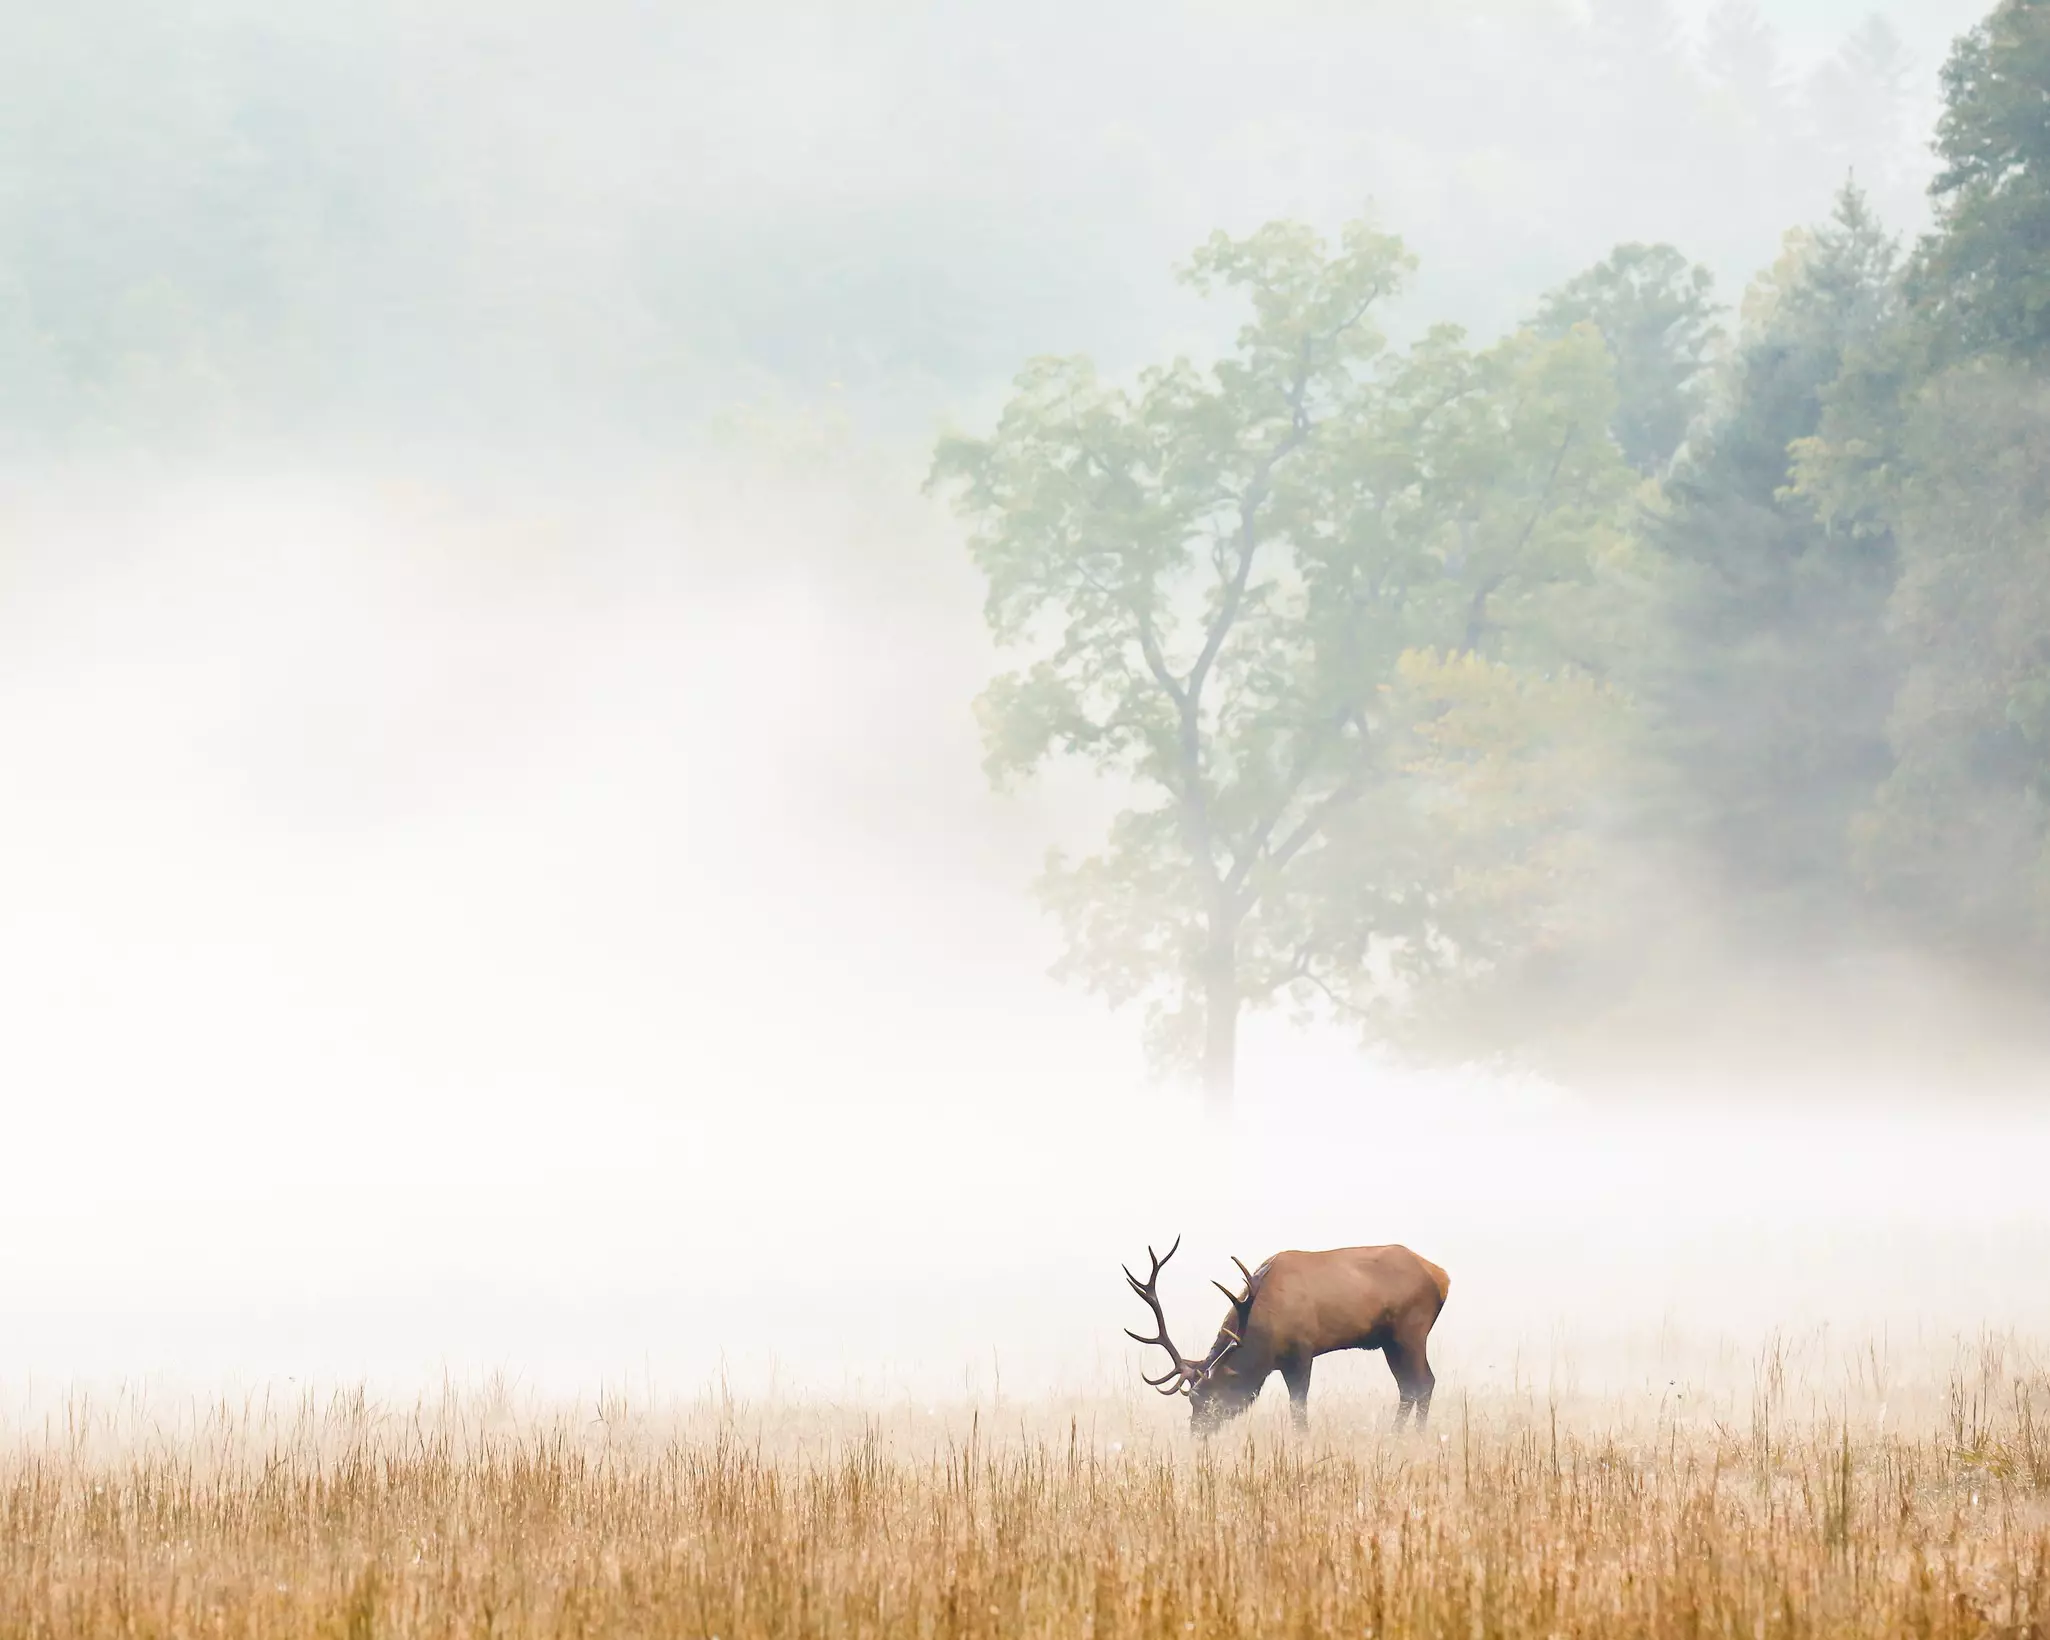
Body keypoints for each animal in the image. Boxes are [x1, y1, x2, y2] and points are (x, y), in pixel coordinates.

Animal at [1122, 1237, 1450, 1435]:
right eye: (1191, 1400)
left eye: (1212, 1401)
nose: (1196, 1435)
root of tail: (1442, 1277)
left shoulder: (1302, 1352)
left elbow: (1298, 1409)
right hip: (1389, 1341)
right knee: (1408, 1386)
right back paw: (1395, 1436)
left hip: (1412, 1331)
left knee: (1424, 1382)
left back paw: (1415, 1437)